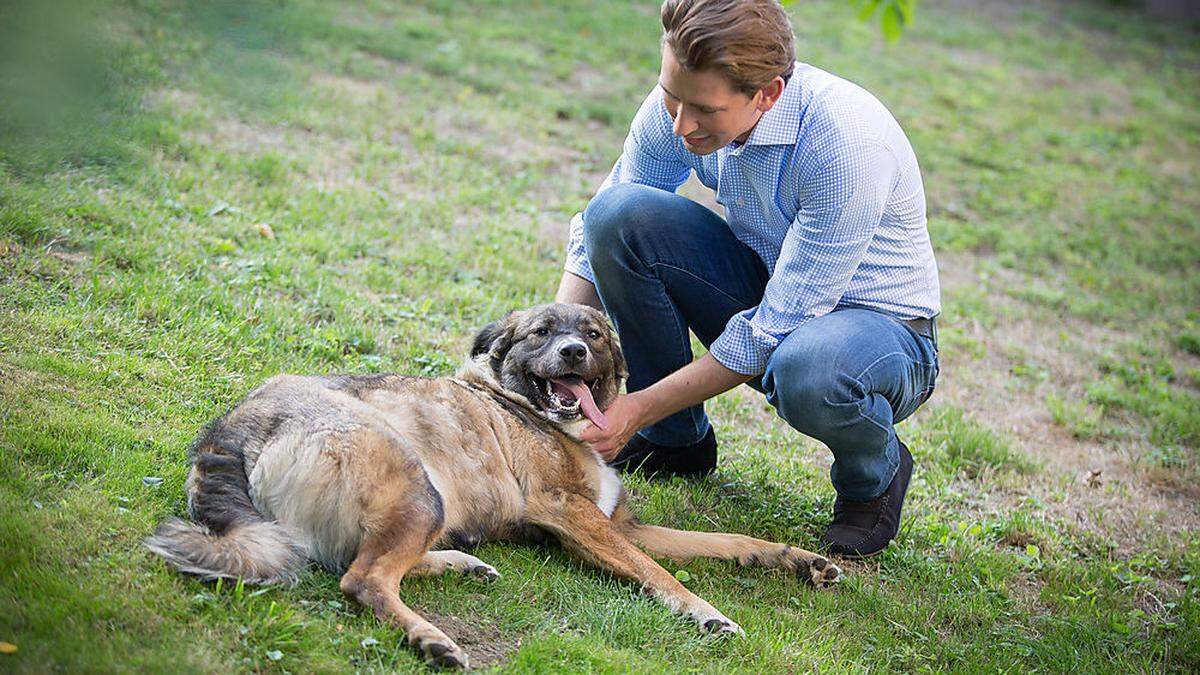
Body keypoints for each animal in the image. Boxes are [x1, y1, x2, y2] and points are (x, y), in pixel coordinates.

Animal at [147, 303, 844, 667]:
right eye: (541, 334)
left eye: (593, 334)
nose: (572, 353)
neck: (535, 412)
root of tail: (233, 426)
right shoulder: (571, 515)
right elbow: (659, 573)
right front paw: (704, 613)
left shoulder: (621, 525)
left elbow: (726, 543)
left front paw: (800, 560)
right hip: (416, 485)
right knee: (362, 578)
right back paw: (431, 636)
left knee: (354, 560)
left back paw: (460, 563)